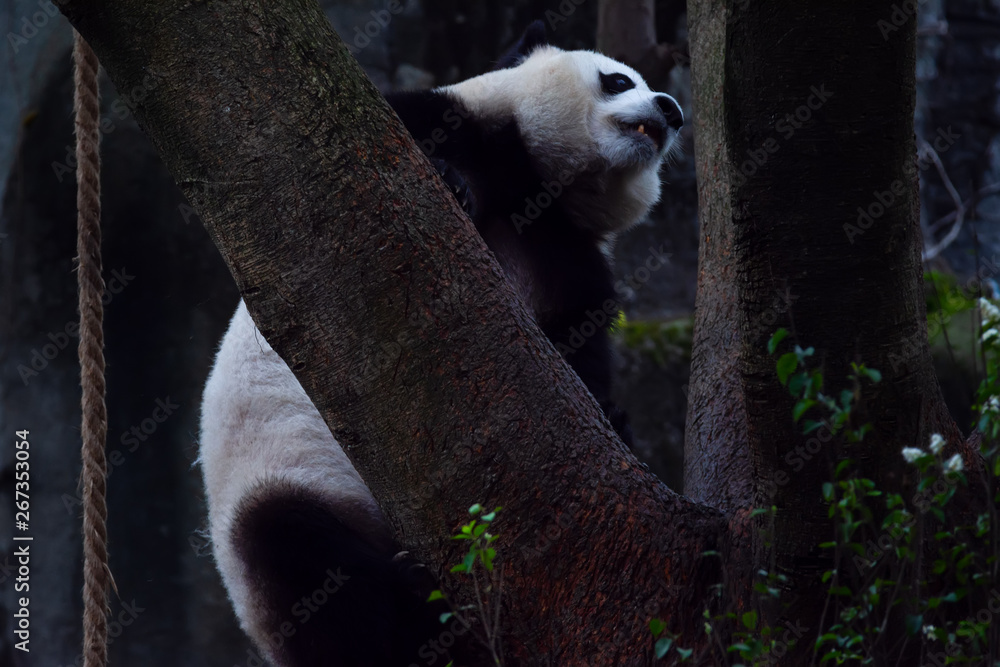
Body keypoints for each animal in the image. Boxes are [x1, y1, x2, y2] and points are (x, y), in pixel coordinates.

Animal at [199, 21, 682, 667]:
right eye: (619, 79)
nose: (672, 109)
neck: (542, 189)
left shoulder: (568, 255)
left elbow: (578, 345)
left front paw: (614, 420)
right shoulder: (445, 125)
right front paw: (453, 183)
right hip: (273, 494)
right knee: (304, 565)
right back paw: (410, 598)